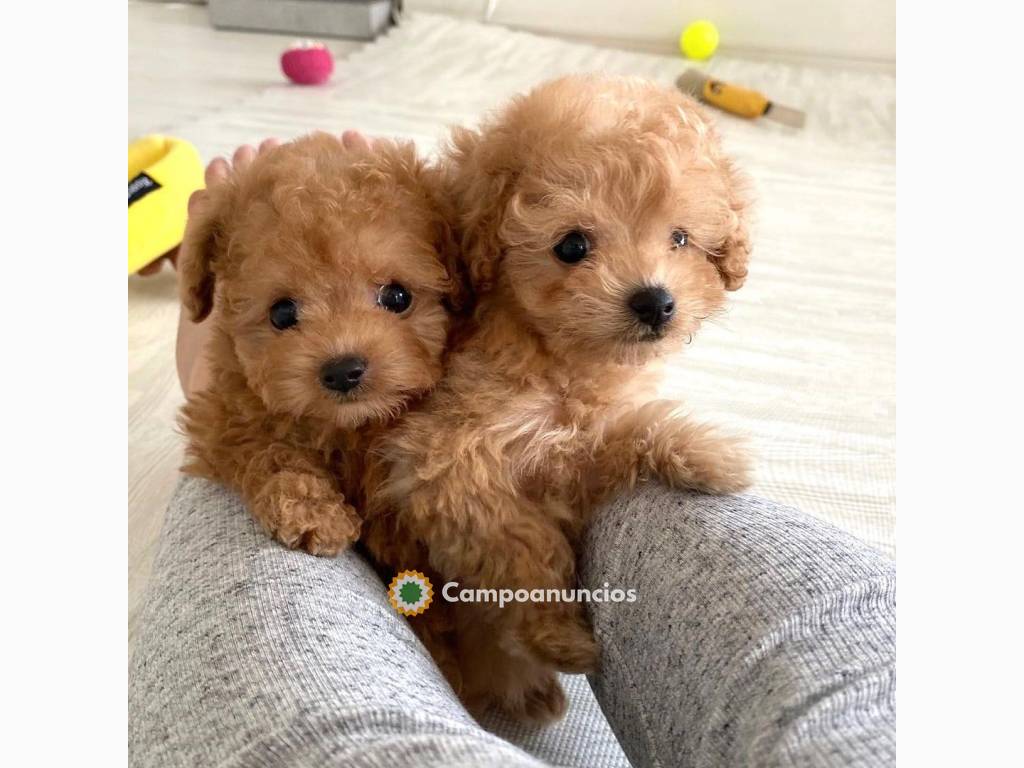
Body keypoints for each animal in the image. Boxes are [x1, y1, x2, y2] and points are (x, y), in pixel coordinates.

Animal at [179, 131, 460, 552]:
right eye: (281, 314)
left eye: (398, 297)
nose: (343, 370)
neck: (347, 426)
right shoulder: (224, 410)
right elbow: (265, 446)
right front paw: (312, 511)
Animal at [360, 75, 753, 724]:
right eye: (571, 246)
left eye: (680, 239)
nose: (655, 302)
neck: (556, 356)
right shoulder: (443, 460)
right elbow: (519, 541)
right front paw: (557, 637)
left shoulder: (575, 442)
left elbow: (623, 433)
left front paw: (706, 454)